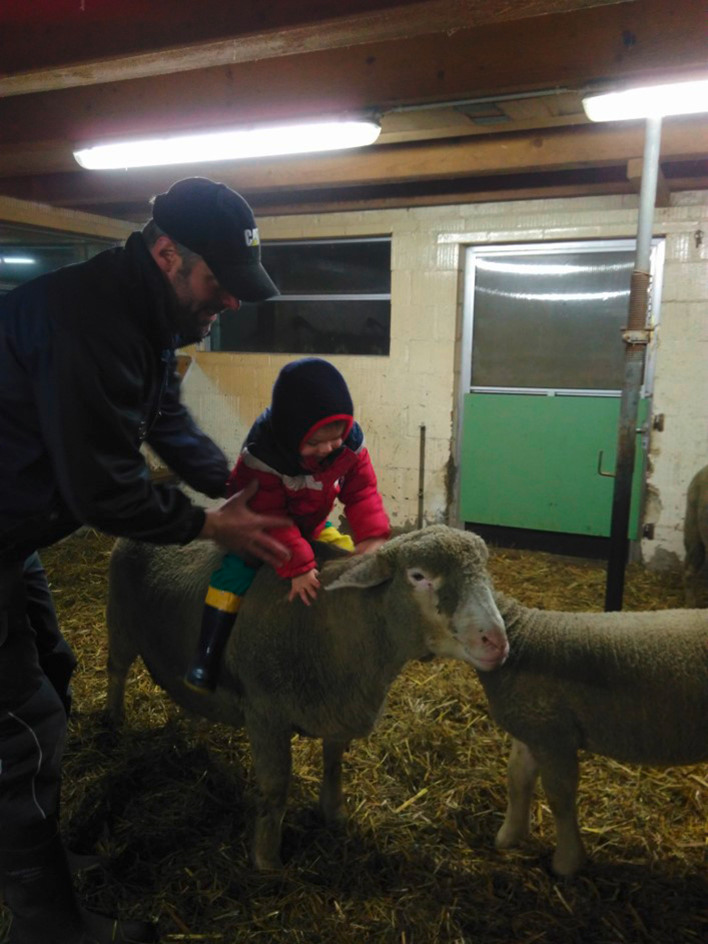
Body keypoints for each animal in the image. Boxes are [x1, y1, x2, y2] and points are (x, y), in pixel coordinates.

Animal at [105, 524, 506, 872]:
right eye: (419, 576)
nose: (496, 641)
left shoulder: (336, 704)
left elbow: (334, 762)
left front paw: (334, 813)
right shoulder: (265, 713)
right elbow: (275, 785)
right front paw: (267, 859)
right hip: (119, 622)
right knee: (116, 670)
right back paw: (113, 720)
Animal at [476, 592, 708, 876]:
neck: (523, 637)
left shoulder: (556, 737)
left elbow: (559, 796)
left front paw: (566, 863)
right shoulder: (534, 727)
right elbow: (517, 778)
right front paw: (510, 836)